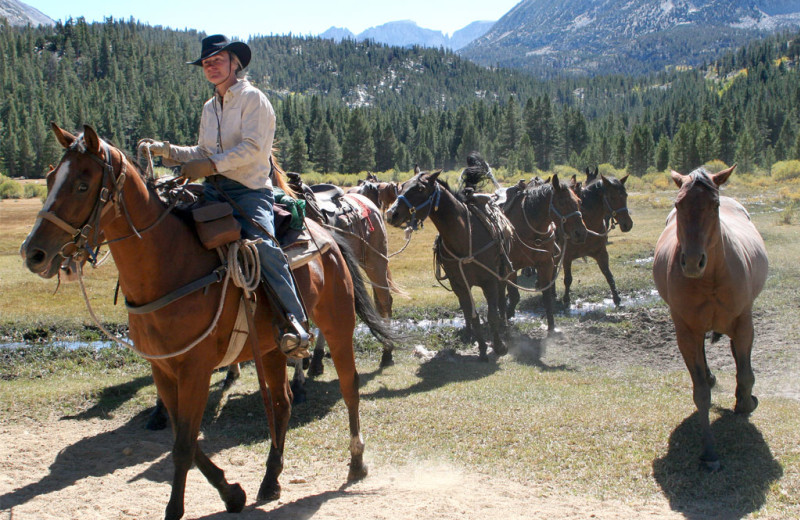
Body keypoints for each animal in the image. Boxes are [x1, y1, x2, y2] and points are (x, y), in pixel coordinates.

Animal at [20, 124, 392, 516]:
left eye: (82, 184)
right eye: (50, 179)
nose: (33, 253)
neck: (169, 264)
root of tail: (327, 236)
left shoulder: (195, 370)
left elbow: (184, 445)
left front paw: (177, 510)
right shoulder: (163, 369)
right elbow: (183, 437)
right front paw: (233, 493)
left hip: (338, 325)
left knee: (349, 388)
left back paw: (356, 462)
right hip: (270, 348)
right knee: (281, 404)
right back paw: (270, 480)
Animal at [386, 169, 510, 360]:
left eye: (420, 188)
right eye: (402, 186)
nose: (391, 214)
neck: (465, 236)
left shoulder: (489, 280)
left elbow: (492, 315)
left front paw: (499, 346)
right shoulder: (459, 283)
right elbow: (472, 315)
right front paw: (482, 347)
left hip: (502, 274)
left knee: (502, 301)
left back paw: (505, 328)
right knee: (467, 310)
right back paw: (468, 334)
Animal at [564, 169, 632, 304]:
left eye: (626, 195)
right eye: (612, 197)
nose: (627, 224)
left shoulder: (601, 253)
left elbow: (608, 275)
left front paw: (616, 298)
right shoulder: (566, 257)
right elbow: (568, 279)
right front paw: (566, 300)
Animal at [656, 167, 768, 472]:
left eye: (714, 205)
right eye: (678, 204)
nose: (693, 262)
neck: (711, 279)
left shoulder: (743, 323)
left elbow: (745, 372)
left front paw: (745, 403)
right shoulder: (686, 332)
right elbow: (701, 394)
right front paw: (709, 452)